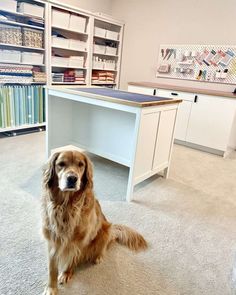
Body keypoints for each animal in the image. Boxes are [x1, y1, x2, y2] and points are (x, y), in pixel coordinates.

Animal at [41, 151, 147, 294]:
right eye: (61, 164)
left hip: (105, 231)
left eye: (80, 164)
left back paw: (98, 257)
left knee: (103, 247)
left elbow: (72, 259)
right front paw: (51, 288)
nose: (72, 178)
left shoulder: (80, 240)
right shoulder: (52, 239)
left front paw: (66, 272)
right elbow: (52, 268)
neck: (67, 206)